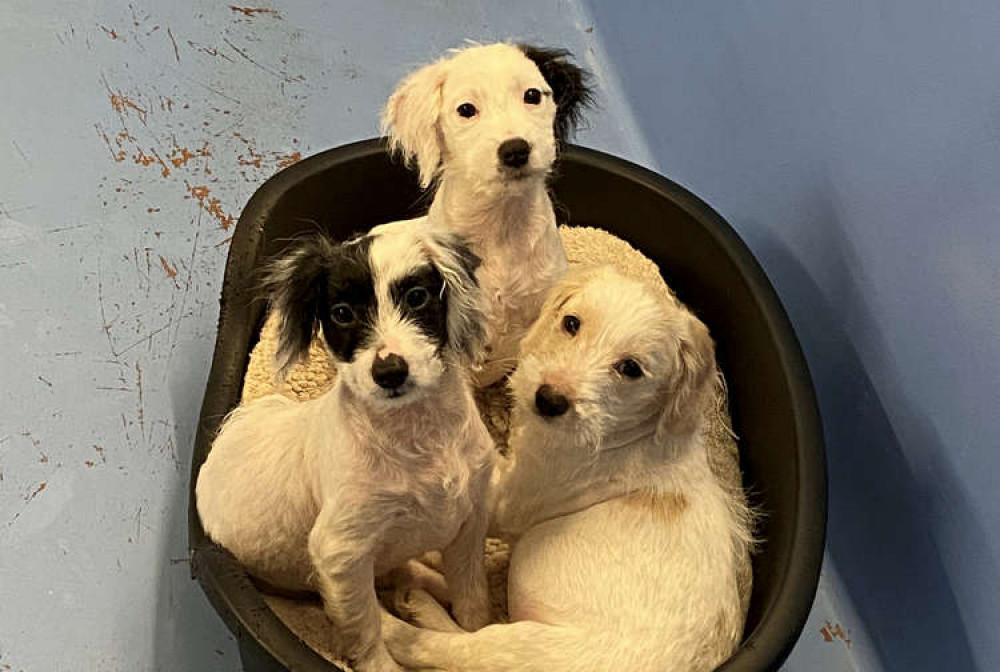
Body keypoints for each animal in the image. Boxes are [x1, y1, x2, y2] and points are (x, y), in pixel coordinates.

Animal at [197, 224, 494, 672]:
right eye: (341, 313)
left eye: (416, 297)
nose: (389, 371)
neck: (419, 437)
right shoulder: (341, 554)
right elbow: (366, 628)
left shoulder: (470, 519)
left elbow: (472, 602)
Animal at [380, 268, 752, 672]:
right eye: (571, 324)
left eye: (631, 369)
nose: (549, 399)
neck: (625, 431)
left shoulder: (506, 499)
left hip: (517, 646)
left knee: (441, 646)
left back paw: (398, 617)